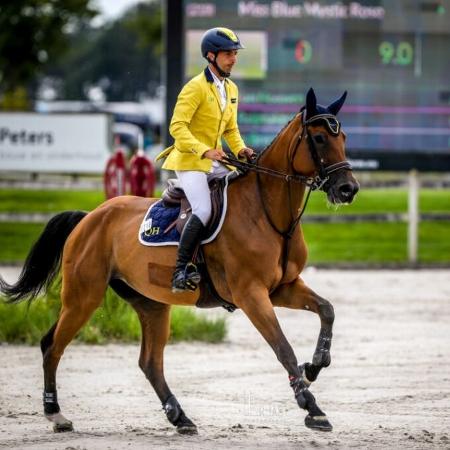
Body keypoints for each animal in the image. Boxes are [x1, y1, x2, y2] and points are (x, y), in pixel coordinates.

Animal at [0, 88, 358, 436]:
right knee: (52, 346)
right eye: (319, 138)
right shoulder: (251, 294)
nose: (348, 189)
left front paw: (314, 366)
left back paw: (180, 417)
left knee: (150, 363)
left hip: (152, 304)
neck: (268, 212)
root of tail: (89, 217)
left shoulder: (282, 288)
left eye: (342, 137)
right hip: (83, 298)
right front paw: (311, 407)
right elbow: (283, 348)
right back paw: (56, 414)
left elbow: (327, 310)